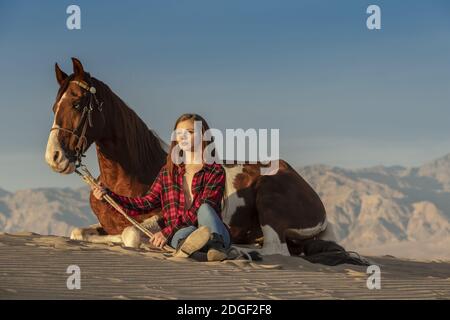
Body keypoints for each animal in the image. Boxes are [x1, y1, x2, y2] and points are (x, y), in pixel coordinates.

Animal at [44, 57, 334, 256]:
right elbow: (78, 232)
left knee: (275, 250)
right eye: (54, 106)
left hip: (270, 204)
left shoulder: (156, 220)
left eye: (78, 104)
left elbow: (130, 234)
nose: (54, 157)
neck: (131, 176)